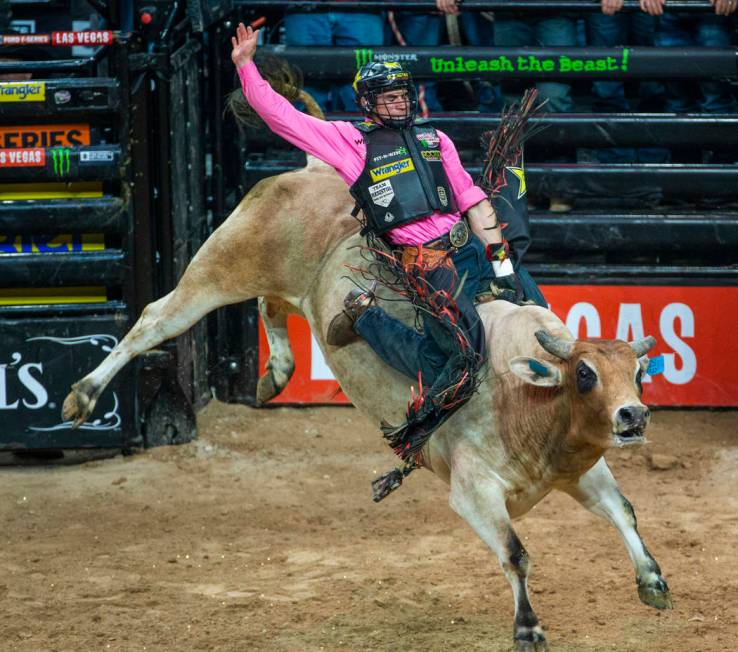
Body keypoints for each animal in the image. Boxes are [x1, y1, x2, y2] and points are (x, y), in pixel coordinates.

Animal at [63, 155, 672, 648]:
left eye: (638, 374)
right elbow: (515, 552)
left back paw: (276, 373)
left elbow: (624, 510)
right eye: (585, 375)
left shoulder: (580, 469)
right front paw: (528, 629)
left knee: (271, 305)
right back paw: (81, 398)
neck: (523, 396)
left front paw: (653, 581)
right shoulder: (472, 491)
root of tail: (314, 168)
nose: (633, 416)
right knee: (155, 320)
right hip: (222, 265)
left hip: (273, 282)